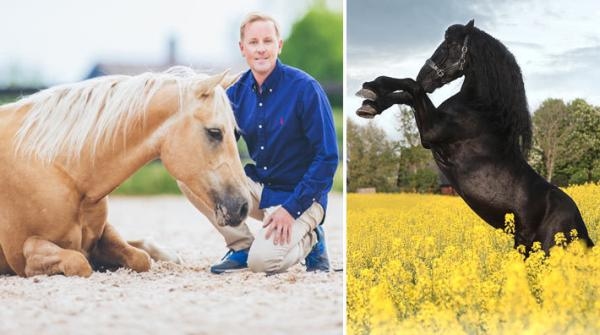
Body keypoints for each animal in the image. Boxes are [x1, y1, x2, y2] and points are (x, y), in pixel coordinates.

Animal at [0, 67, 251, 276]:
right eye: (214, 132)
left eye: (236, 133)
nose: (243, 206)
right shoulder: (25, 253)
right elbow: (79, 262)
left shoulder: (103, 234)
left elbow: (140, 258)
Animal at [356, 19, 596, 255]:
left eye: (451, 44)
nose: (424, 77)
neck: (480, 109)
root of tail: (583, 232)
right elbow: (406, 95)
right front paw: (370, 105)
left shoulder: (431, 132)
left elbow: (411, 87)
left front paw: (371, 87)